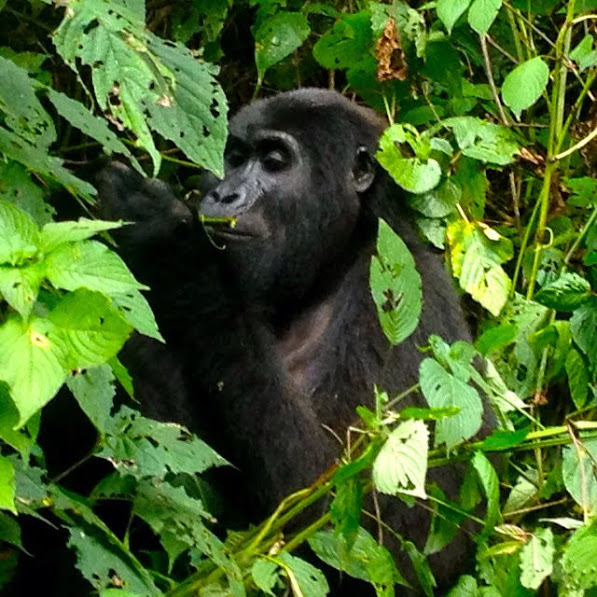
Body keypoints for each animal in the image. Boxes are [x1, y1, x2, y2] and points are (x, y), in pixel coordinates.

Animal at [96, 87, 488, 592]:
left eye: (274, 162)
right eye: (233, 157)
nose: (223, 193)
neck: (331, 269)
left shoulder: (408, 308)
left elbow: (374, 537)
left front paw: (174, 249)